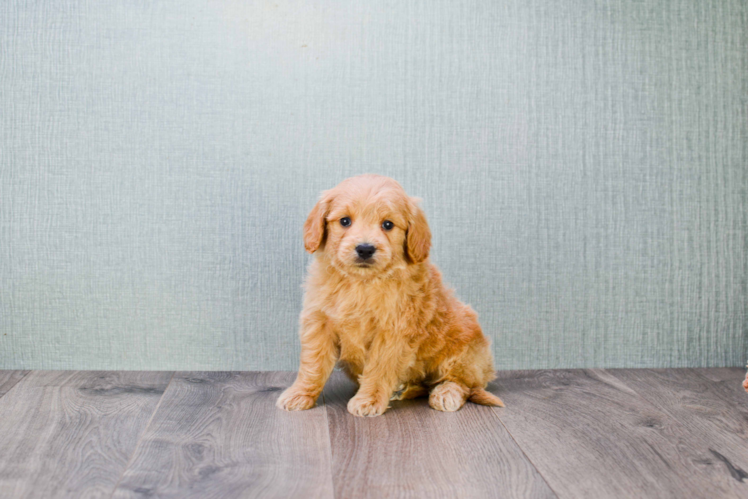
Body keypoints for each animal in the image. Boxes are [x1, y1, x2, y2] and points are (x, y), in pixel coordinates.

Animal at [276, 174, 502, 416]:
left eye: (387, 225)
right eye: (345, 221)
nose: (365, 249)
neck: (361, 283)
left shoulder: (393, 331)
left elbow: (379, 368)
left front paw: (368, 400)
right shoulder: (319, 323)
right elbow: (313, 364)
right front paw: (300, 394)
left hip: (463, 349)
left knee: (463, 383)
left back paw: (445, 393)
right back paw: (405, 389)